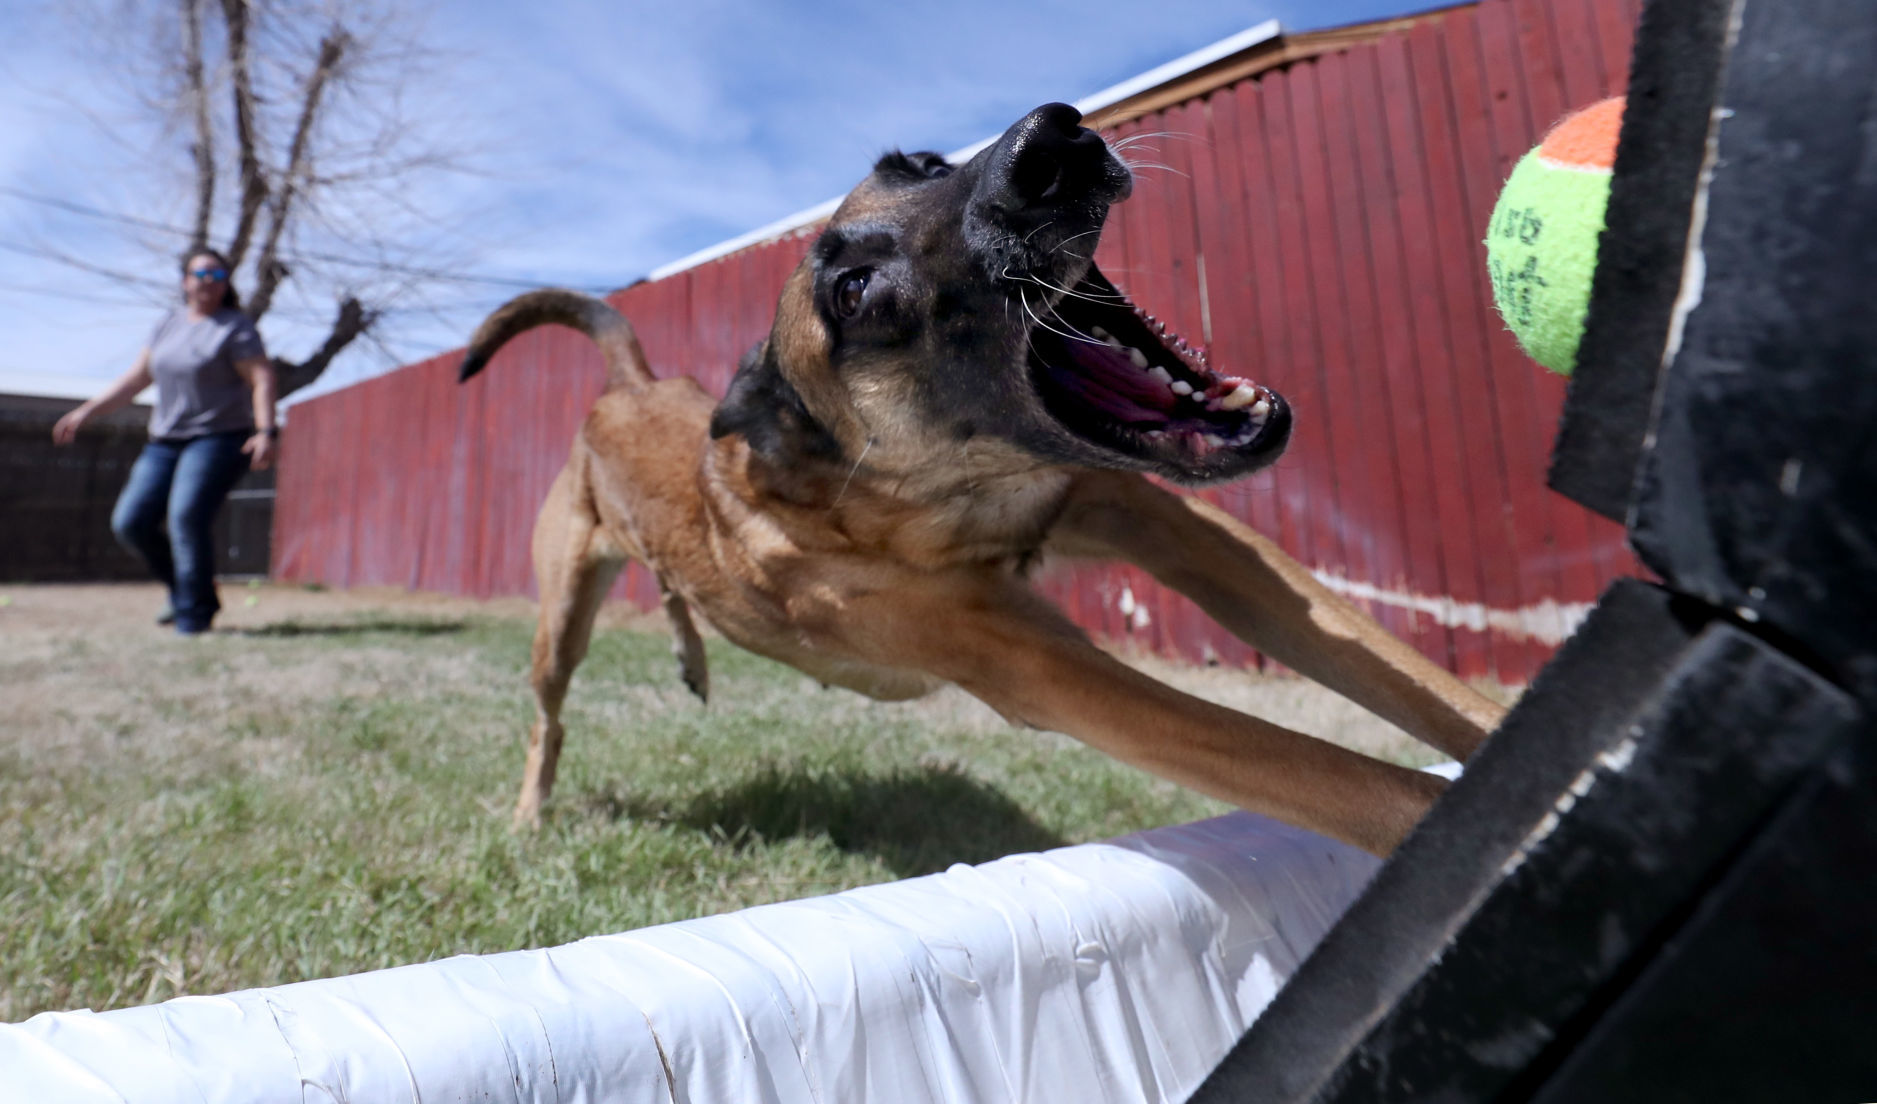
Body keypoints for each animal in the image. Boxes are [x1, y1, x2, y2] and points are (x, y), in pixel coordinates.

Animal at [461, 103, 1501, 859]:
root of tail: (632, 385)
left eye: (925, 163)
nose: (1048, 144)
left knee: (674, 592)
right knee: (548, 716)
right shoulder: (1044, 666)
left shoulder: (1169, 524)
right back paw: (529, 813)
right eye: (852, 293)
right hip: (560, 615)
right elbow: (1335, 775)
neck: (939, 502)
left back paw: (690, 650)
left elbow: (1387, 663)